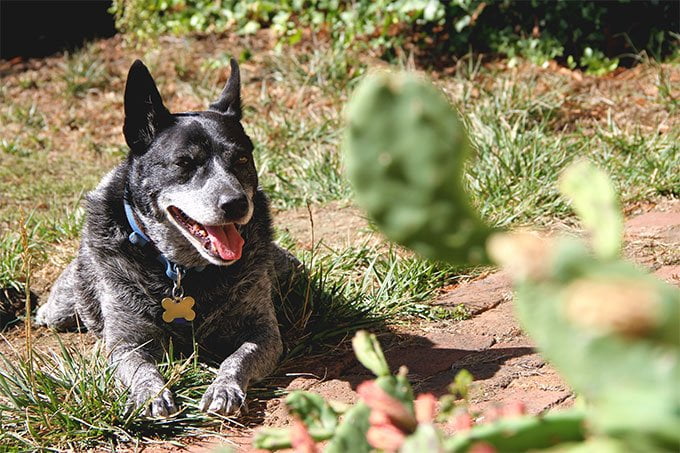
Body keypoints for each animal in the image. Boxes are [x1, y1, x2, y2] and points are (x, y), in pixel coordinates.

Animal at [35, 58, 298, 414]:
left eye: (242, 158)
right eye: (184, 162)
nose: (237, 203)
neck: (180, 269)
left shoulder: (264, 332)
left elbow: (239, 357)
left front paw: (224, 387)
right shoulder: (125, 342)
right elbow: (141, 367)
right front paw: (152, 394)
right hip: (65, 305)